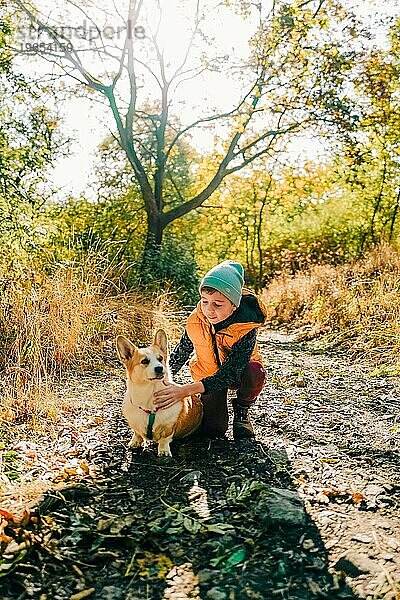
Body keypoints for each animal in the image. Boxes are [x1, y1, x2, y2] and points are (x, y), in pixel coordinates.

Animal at [115, 330, 203, 458]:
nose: (159, 368)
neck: (149, 393)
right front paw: (135, 442)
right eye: (144, 361)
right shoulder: (134, 423)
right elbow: (137, 433)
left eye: (160, 358)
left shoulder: (168, 427)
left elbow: (164, 440)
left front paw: (163, 451)